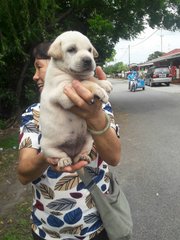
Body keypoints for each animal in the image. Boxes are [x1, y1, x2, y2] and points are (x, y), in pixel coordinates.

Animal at [40, 30, 112, 169]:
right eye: (71, 49)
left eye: (89, 50)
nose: (88, 60)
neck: (73, 74)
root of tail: (72, 153)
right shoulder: (64, 90)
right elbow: (84, 83)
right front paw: (99, 90)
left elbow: (90, 78)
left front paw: (104, 83)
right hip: (47, 147)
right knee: (60, 155)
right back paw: (64, 161)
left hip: (88, 140)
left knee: (81, 153)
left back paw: (83, 157)